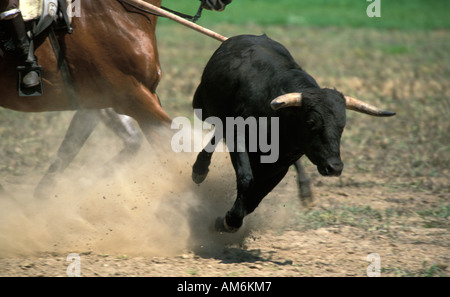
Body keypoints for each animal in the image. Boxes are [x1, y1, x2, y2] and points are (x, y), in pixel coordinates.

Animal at [192, 34, 396, 232]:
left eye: (342, 126)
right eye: (311, 123)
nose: (335, 167)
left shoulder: (281, 163)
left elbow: (257, 196)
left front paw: (227, 221)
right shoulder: (238, 136)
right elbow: (246, 179)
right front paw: (231, 220)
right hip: (203, 108)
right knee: (218, 131)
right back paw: (199, 169)